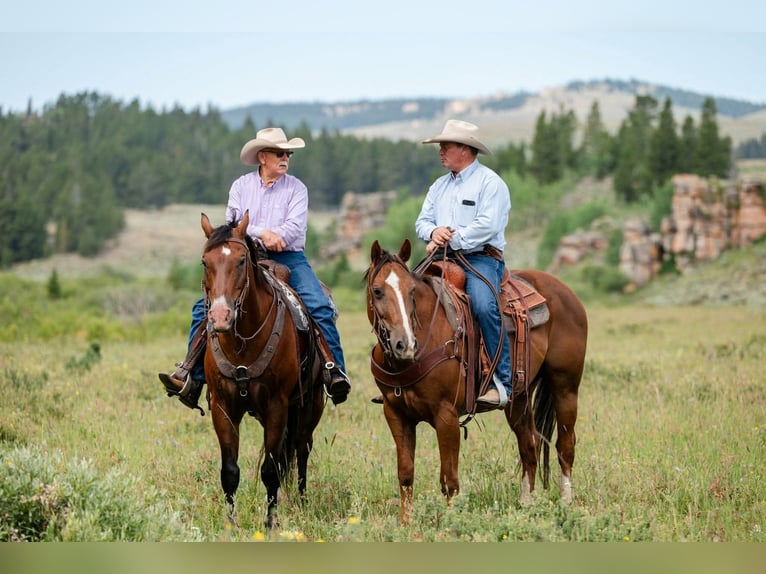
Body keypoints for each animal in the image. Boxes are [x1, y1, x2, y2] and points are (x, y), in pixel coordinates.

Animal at [199, 211, 325, 528]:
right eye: (205, 262)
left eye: (241, 261)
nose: (221, 317)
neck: (242, 343)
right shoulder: (223, 407)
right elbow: (230, 470)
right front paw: (230, 524)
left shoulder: (276, 406)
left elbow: (270, 469)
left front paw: (270, 523)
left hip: (310, 407)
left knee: (301, 451)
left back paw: (301, 503)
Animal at [365, 239, 588, 524]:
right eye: (377, 291)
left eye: (411, 290)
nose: (405, 344)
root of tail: (566, 292)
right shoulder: (395, 414)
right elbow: (405, 474)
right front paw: (405, 523)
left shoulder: (446, 415)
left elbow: (449, 480)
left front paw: (451, 522)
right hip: (519, 398)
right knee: (529, 447)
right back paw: (526, 505)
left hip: (565, 387)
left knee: (565, 446)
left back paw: (566, 503)